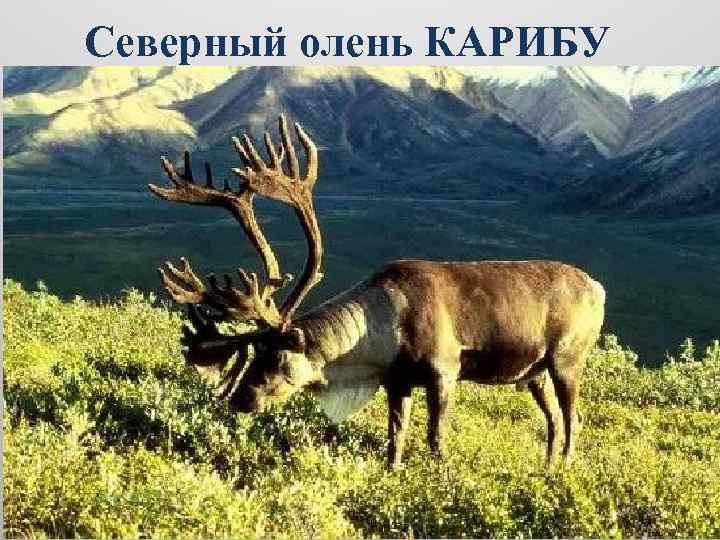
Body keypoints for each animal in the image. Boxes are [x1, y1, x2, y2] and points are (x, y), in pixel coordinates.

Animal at [148, 115, 606, 468]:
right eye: (253, 353)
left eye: (276, 357)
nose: (241, 400)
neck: (379, 333)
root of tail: (598, 286)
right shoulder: (396, 381)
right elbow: (395, 438)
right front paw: (393, 474)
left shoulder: (445, 371)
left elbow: (436, 438)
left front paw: (441, 480)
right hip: (533, 372)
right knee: (553, 420)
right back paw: (545, 470)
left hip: (567, 359)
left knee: (573, 418)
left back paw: (564, 472)